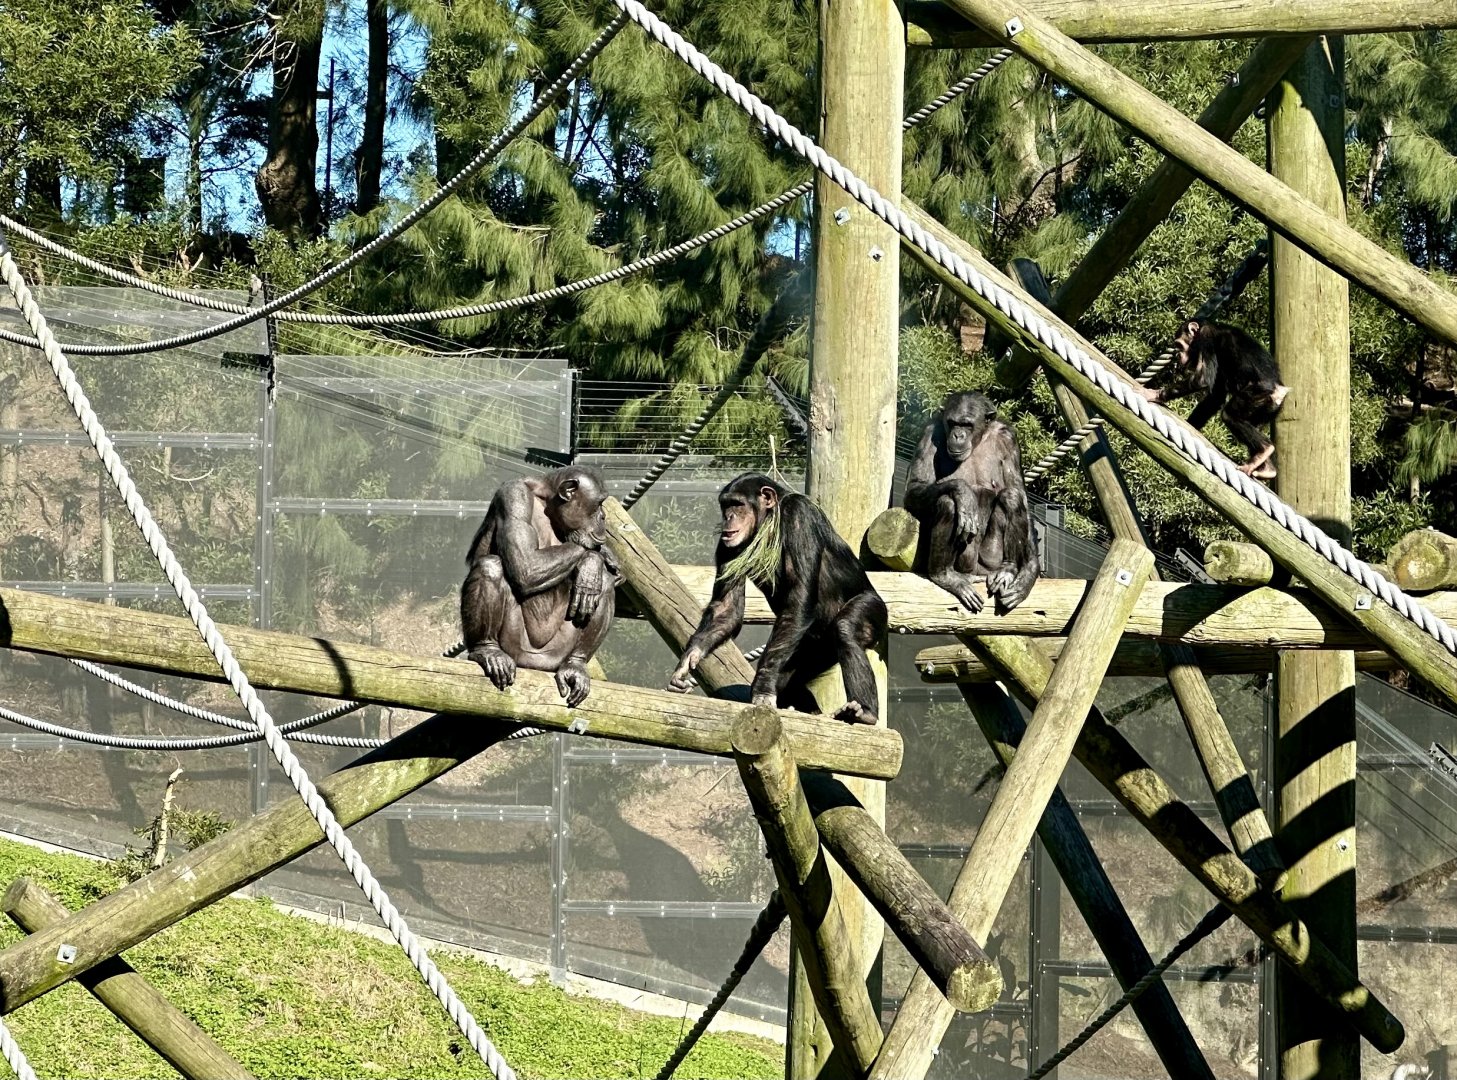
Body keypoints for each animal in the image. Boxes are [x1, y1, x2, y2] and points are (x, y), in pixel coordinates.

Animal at [460, 465, 620, 708]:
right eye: (599, 503)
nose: (603, 516)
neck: (548, 505)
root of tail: (537, 665)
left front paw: (594, 562)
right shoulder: (514, 496)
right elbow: (526, 563)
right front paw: (597, 555)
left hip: (557, 652)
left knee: (605, 584)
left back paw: (576, 666)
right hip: (517, 647)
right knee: (490, 565)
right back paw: (487, 651)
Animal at [666, 473, 887, 725]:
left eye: (737, 504)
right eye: (725, 505)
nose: (728, 517)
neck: (770, 522)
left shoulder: (799, 515)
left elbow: (799, 595)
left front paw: (763, 687)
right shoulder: (726, 544)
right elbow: (726, 608)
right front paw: (688, 659)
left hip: (874, 609)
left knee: (845, 628)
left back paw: (865, 712)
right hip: (814, 648)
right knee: (790, 678)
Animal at [904, 390, 1040, 614]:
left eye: (967, 424)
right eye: (952, 423)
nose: (958, 435)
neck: (979, 439)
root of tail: (976, 573)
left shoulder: (1009, 439)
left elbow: (1019, 490)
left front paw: (1029, 573)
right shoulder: (928, 433)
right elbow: (915, 487)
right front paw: (964, 492)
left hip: (990, 560)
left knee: (1012, 496)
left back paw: (1008, 569)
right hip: (965, 563)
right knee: (948, 503)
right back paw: (945, 576)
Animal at [1141, 319, 1289, 480]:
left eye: (1179, 345)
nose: (1179, 355)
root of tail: (1280, 392)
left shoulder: (1206, 339)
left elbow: (1201, 379)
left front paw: (1155, 394)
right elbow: (1215, 396)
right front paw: (1190, 424)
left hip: (1257, 396)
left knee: (1229, 415)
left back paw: (1264, 451)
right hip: (1267, 409)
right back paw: (1267, 467)